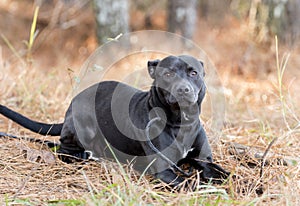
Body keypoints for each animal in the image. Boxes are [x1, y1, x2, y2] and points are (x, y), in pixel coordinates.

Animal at [0, 55, 229, 187]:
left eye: (193, 73)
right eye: (168, 74)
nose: (183, 89)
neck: (181, 122)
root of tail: (71, 105)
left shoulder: (203, 160)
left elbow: (224, 174)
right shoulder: (163, 169)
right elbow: (192, 184)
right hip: (83, 124)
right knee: (63, 149)